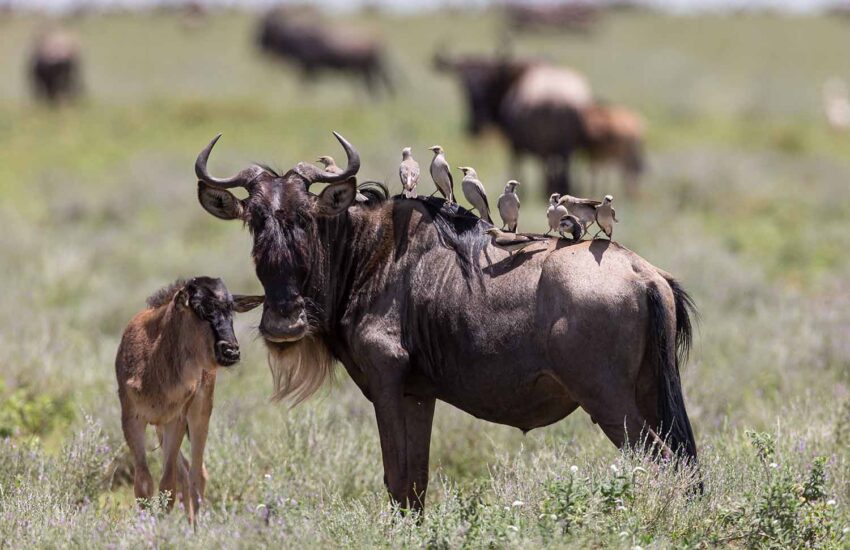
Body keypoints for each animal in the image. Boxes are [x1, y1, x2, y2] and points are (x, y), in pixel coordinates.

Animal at [115, 277, 262, 524]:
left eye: (231, 308)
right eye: (200, 309)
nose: (231, 351)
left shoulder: (176, 420)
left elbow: (168, 484)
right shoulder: (132, 420)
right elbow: (144, 484)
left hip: (199, 414)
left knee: (197, 473)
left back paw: (195, 526)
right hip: (160, 427)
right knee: (186, 472)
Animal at [193, 132, 700, 514]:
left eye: (306, 218)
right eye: (255, 220)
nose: (284, 321)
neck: (367, 252)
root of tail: (644, 273)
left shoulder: (385, 379)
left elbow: (396, 477)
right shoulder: (417, 393)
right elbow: (415, 483)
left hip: (608, 401)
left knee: (661, 463)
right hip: (650, 392)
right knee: (684, 465)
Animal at [256, 10, 393, 97]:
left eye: (266, 28)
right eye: (263, 26)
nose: (258, 44)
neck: (296, 39)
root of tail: (378, 43)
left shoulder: (309, 68)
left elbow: (305, 88)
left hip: (368, 70)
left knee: (379, 86)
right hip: (366, 72)